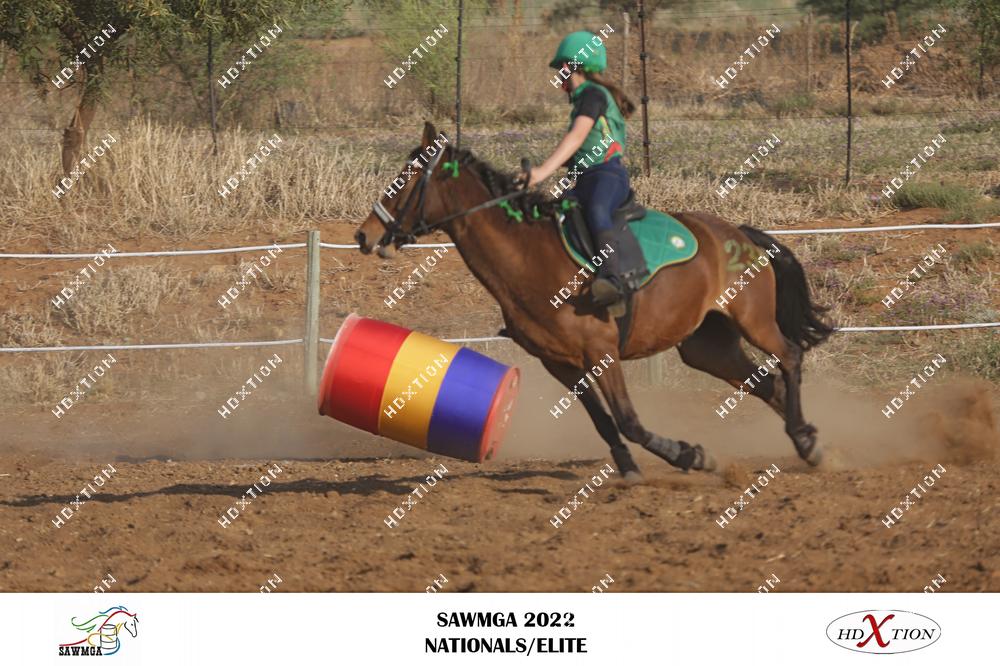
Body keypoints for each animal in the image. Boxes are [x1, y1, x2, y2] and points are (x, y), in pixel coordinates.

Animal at [354, 122, 833, 481]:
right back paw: (808, 441)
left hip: (753, 321)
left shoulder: (601, 352)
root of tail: (740, 234)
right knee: (765, 384)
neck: (530, 258)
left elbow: (628, 420)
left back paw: (806, 438)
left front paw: (690, 454)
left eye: (404, 180)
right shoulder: (561, 364)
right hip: (705, 345)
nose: (364, 235)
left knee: (789, 357)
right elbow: (604, 422)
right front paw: (631, 467)